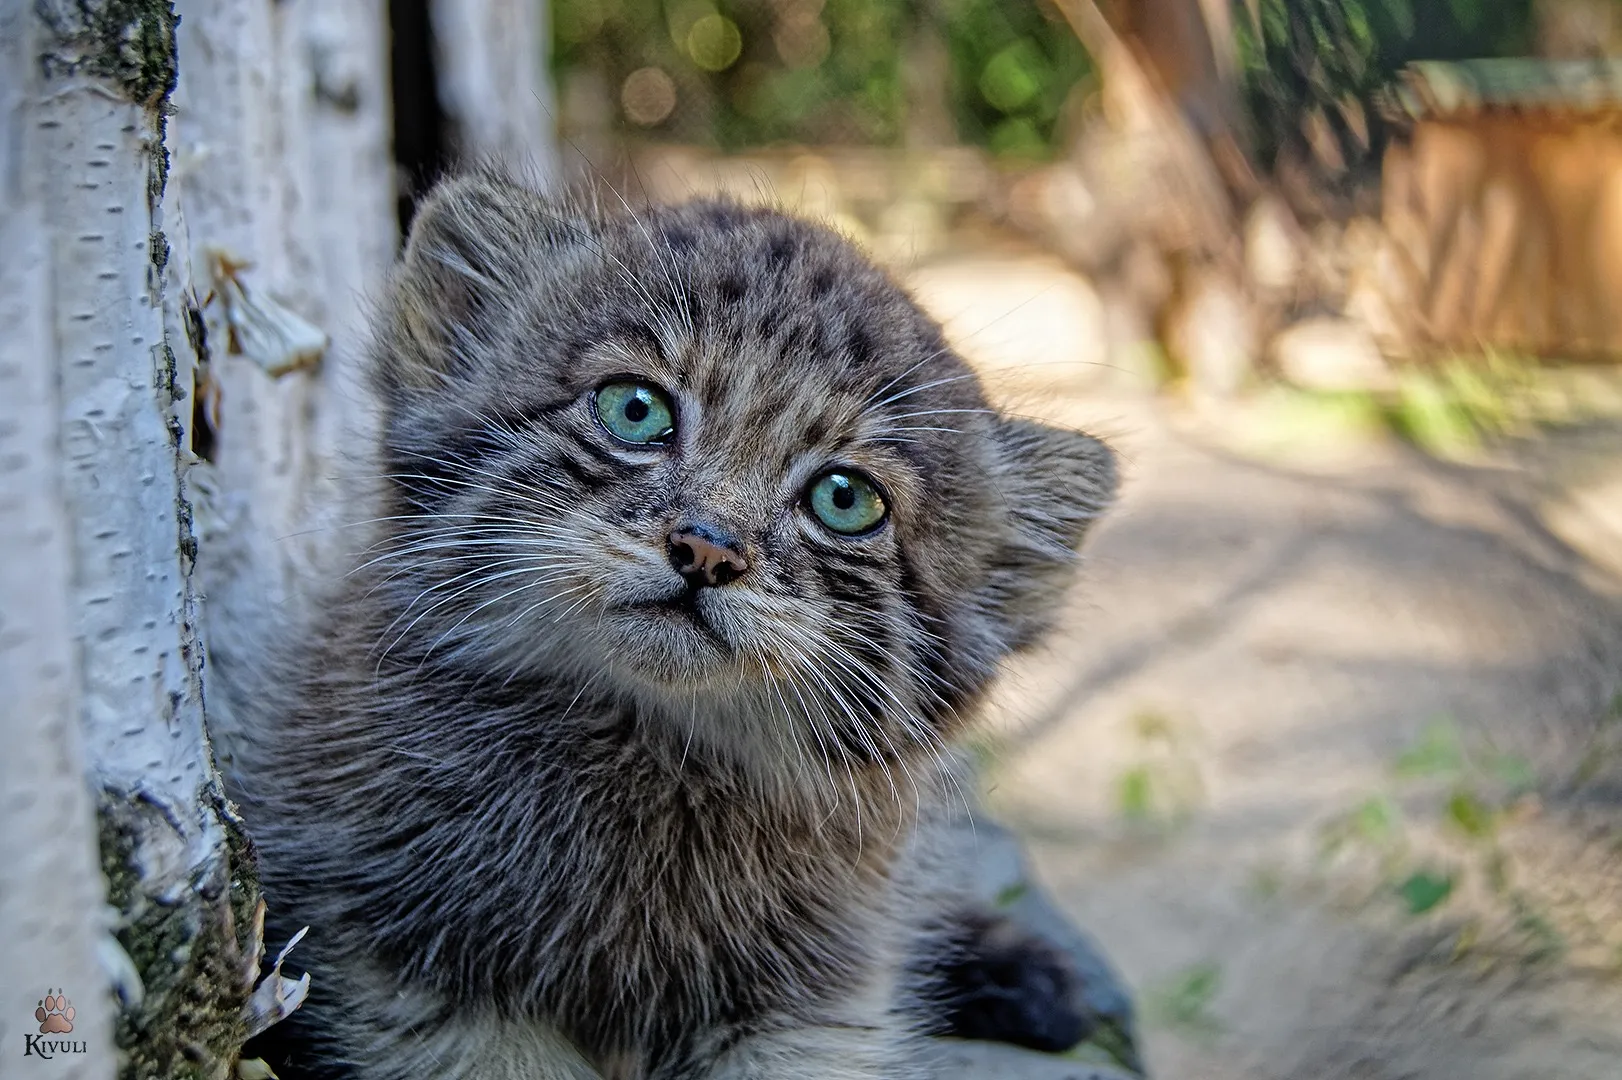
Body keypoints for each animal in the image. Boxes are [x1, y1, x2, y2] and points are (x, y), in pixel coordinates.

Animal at [228, 172, 1115, 1070]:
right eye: (634, 409)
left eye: (846, 498)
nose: (707, 548)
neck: (648, 751)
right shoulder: (395, 957)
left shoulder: (817, 1000)